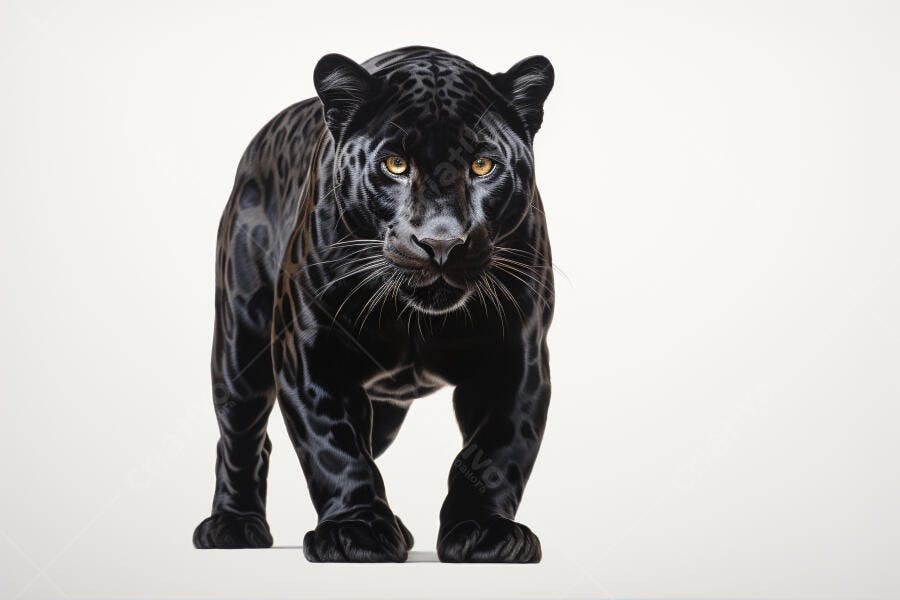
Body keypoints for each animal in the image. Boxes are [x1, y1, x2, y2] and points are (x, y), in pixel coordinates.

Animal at [192, 46, 555, 563]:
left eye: (483, 165)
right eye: (395, 165)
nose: (441, 243)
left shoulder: (516, 355)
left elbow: (496, 452)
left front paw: (483, 531)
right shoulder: (310, 352)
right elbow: (335, 449)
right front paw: (357, 531)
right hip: (240, 345)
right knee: (241, 436)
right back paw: (233, 526)